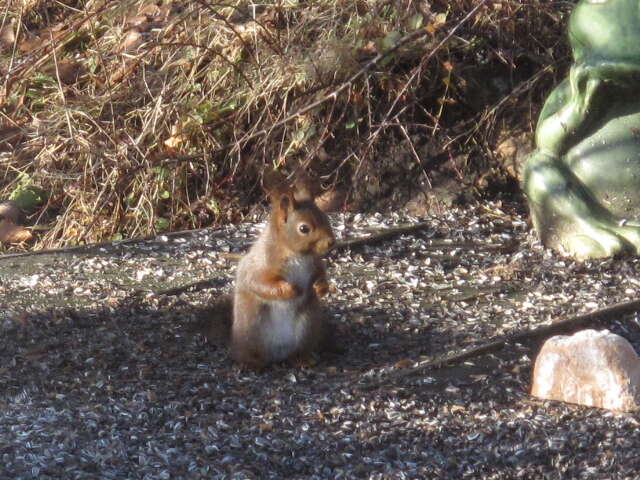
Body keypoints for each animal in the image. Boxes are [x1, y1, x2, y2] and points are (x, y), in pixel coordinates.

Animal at [229, 171, 336, 370]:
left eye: (326, 217)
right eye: (304, 228)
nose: (331, 242)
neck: (297, 254)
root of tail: (277, 355)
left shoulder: (315, 263)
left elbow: (320, 273)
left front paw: (320, 287)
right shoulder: (262, 263)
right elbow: (259, 282)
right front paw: (290, 290)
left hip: (308, 324)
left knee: (298, 351)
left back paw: (302, 359)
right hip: (251, 328)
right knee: (248, 354)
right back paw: (252, 362)